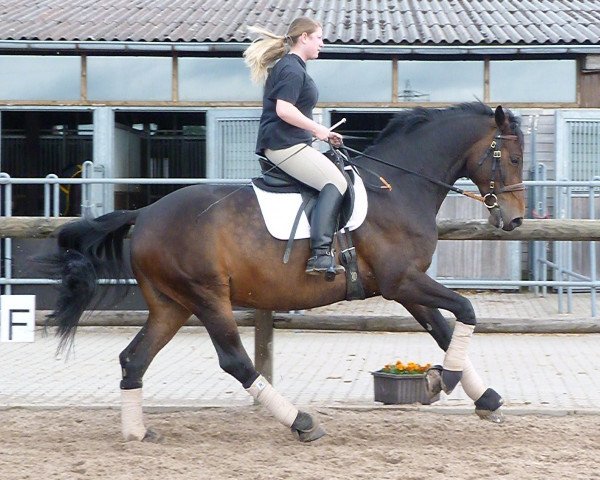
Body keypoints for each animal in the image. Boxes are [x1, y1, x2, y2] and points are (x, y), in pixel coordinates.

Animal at [45, 102, 524, 442]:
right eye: (513, 157)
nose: (515, 220)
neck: (397, 188)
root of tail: (143, 214)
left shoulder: (405, 286)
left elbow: (444, 328)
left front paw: (485, 398)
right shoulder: (402, 281)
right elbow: (465, 311)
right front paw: (443, 380)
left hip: (171, 305)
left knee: (134, 359)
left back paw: (137, 433)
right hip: (207, 297)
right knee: (235, 361)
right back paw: (302, 422)